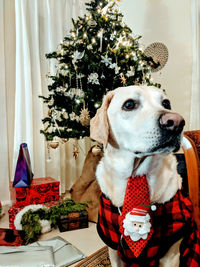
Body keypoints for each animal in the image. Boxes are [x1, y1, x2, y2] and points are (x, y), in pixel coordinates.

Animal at [89, 86, 197, 267]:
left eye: (166, 103)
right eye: (129, 104)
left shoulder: (172, 253)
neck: (136, 174)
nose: (176, 123)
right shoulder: (114, 252)